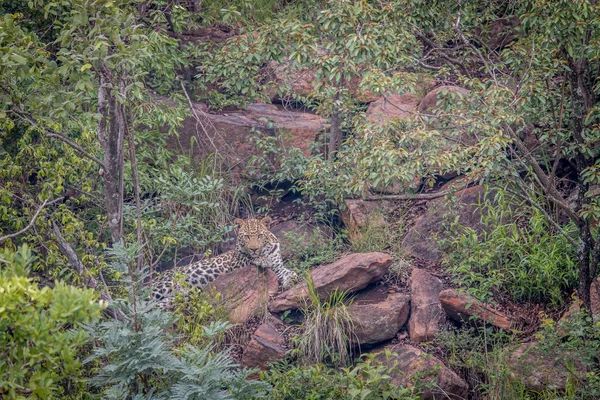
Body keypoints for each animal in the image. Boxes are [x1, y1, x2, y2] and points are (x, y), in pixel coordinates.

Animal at [151, 217, 298, 308]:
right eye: (246, 237)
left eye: (260, 235)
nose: (254, 249)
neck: (266, 250)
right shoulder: (237, 262)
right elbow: (250, 258)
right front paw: (261, 259)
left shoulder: (278, 267)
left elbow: (291, 273)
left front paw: (290, 281)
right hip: (167, 284)